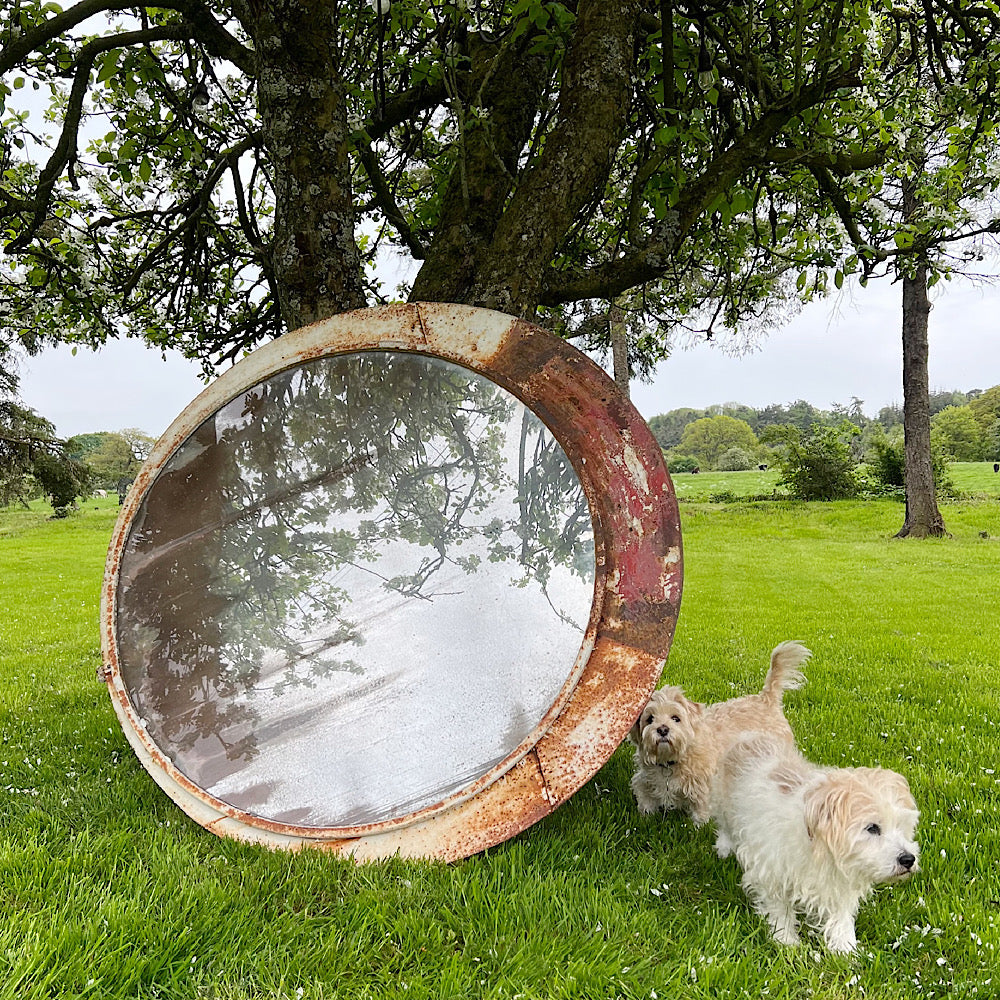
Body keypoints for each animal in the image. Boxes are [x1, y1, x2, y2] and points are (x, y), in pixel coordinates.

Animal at [628, 644, 808, 824]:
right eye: (649, 719)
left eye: (675, 718)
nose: (663, 729)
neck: (671, 761)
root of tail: (766, 698)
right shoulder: (646, 778)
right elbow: (643, 794)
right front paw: (645, 815)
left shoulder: (702, 786)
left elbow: (700, 812)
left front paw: (699, 825)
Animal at [712, 736, 920, 952]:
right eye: (872, 828)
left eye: (901, 825)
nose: (908, 859)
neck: (819, 849)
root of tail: (749, 737)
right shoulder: (771, 872)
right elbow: (780, 909)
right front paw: (785, 940)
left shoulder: (840, 882)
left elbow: (841, 917)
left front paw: (846, 948)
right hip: (722, 804)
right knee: (724, 824)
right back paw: (724, 847)